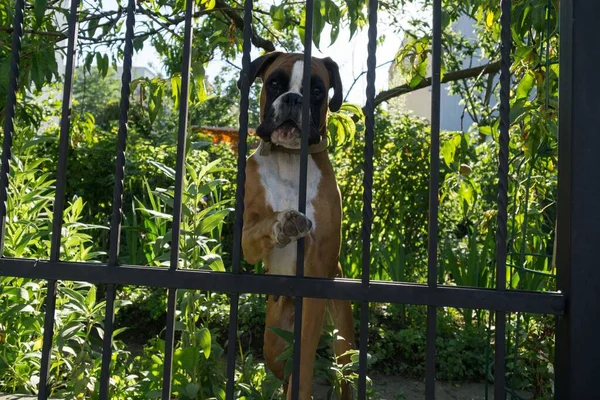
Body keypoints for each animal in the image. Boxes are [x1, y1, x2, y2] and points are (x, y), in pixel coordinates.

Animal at [240, 51, 356, 398]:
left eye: (317, 90)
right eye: (275, 83)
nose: (294, 98)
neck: (290, 160)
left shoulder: (316, 273)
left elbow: (303, 365)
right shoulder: (246, 239)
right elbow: (263, 224)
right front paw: (284, 222)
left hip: (343, 343)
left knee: (341, 376)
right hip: (273, 343)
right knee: (282, 368)